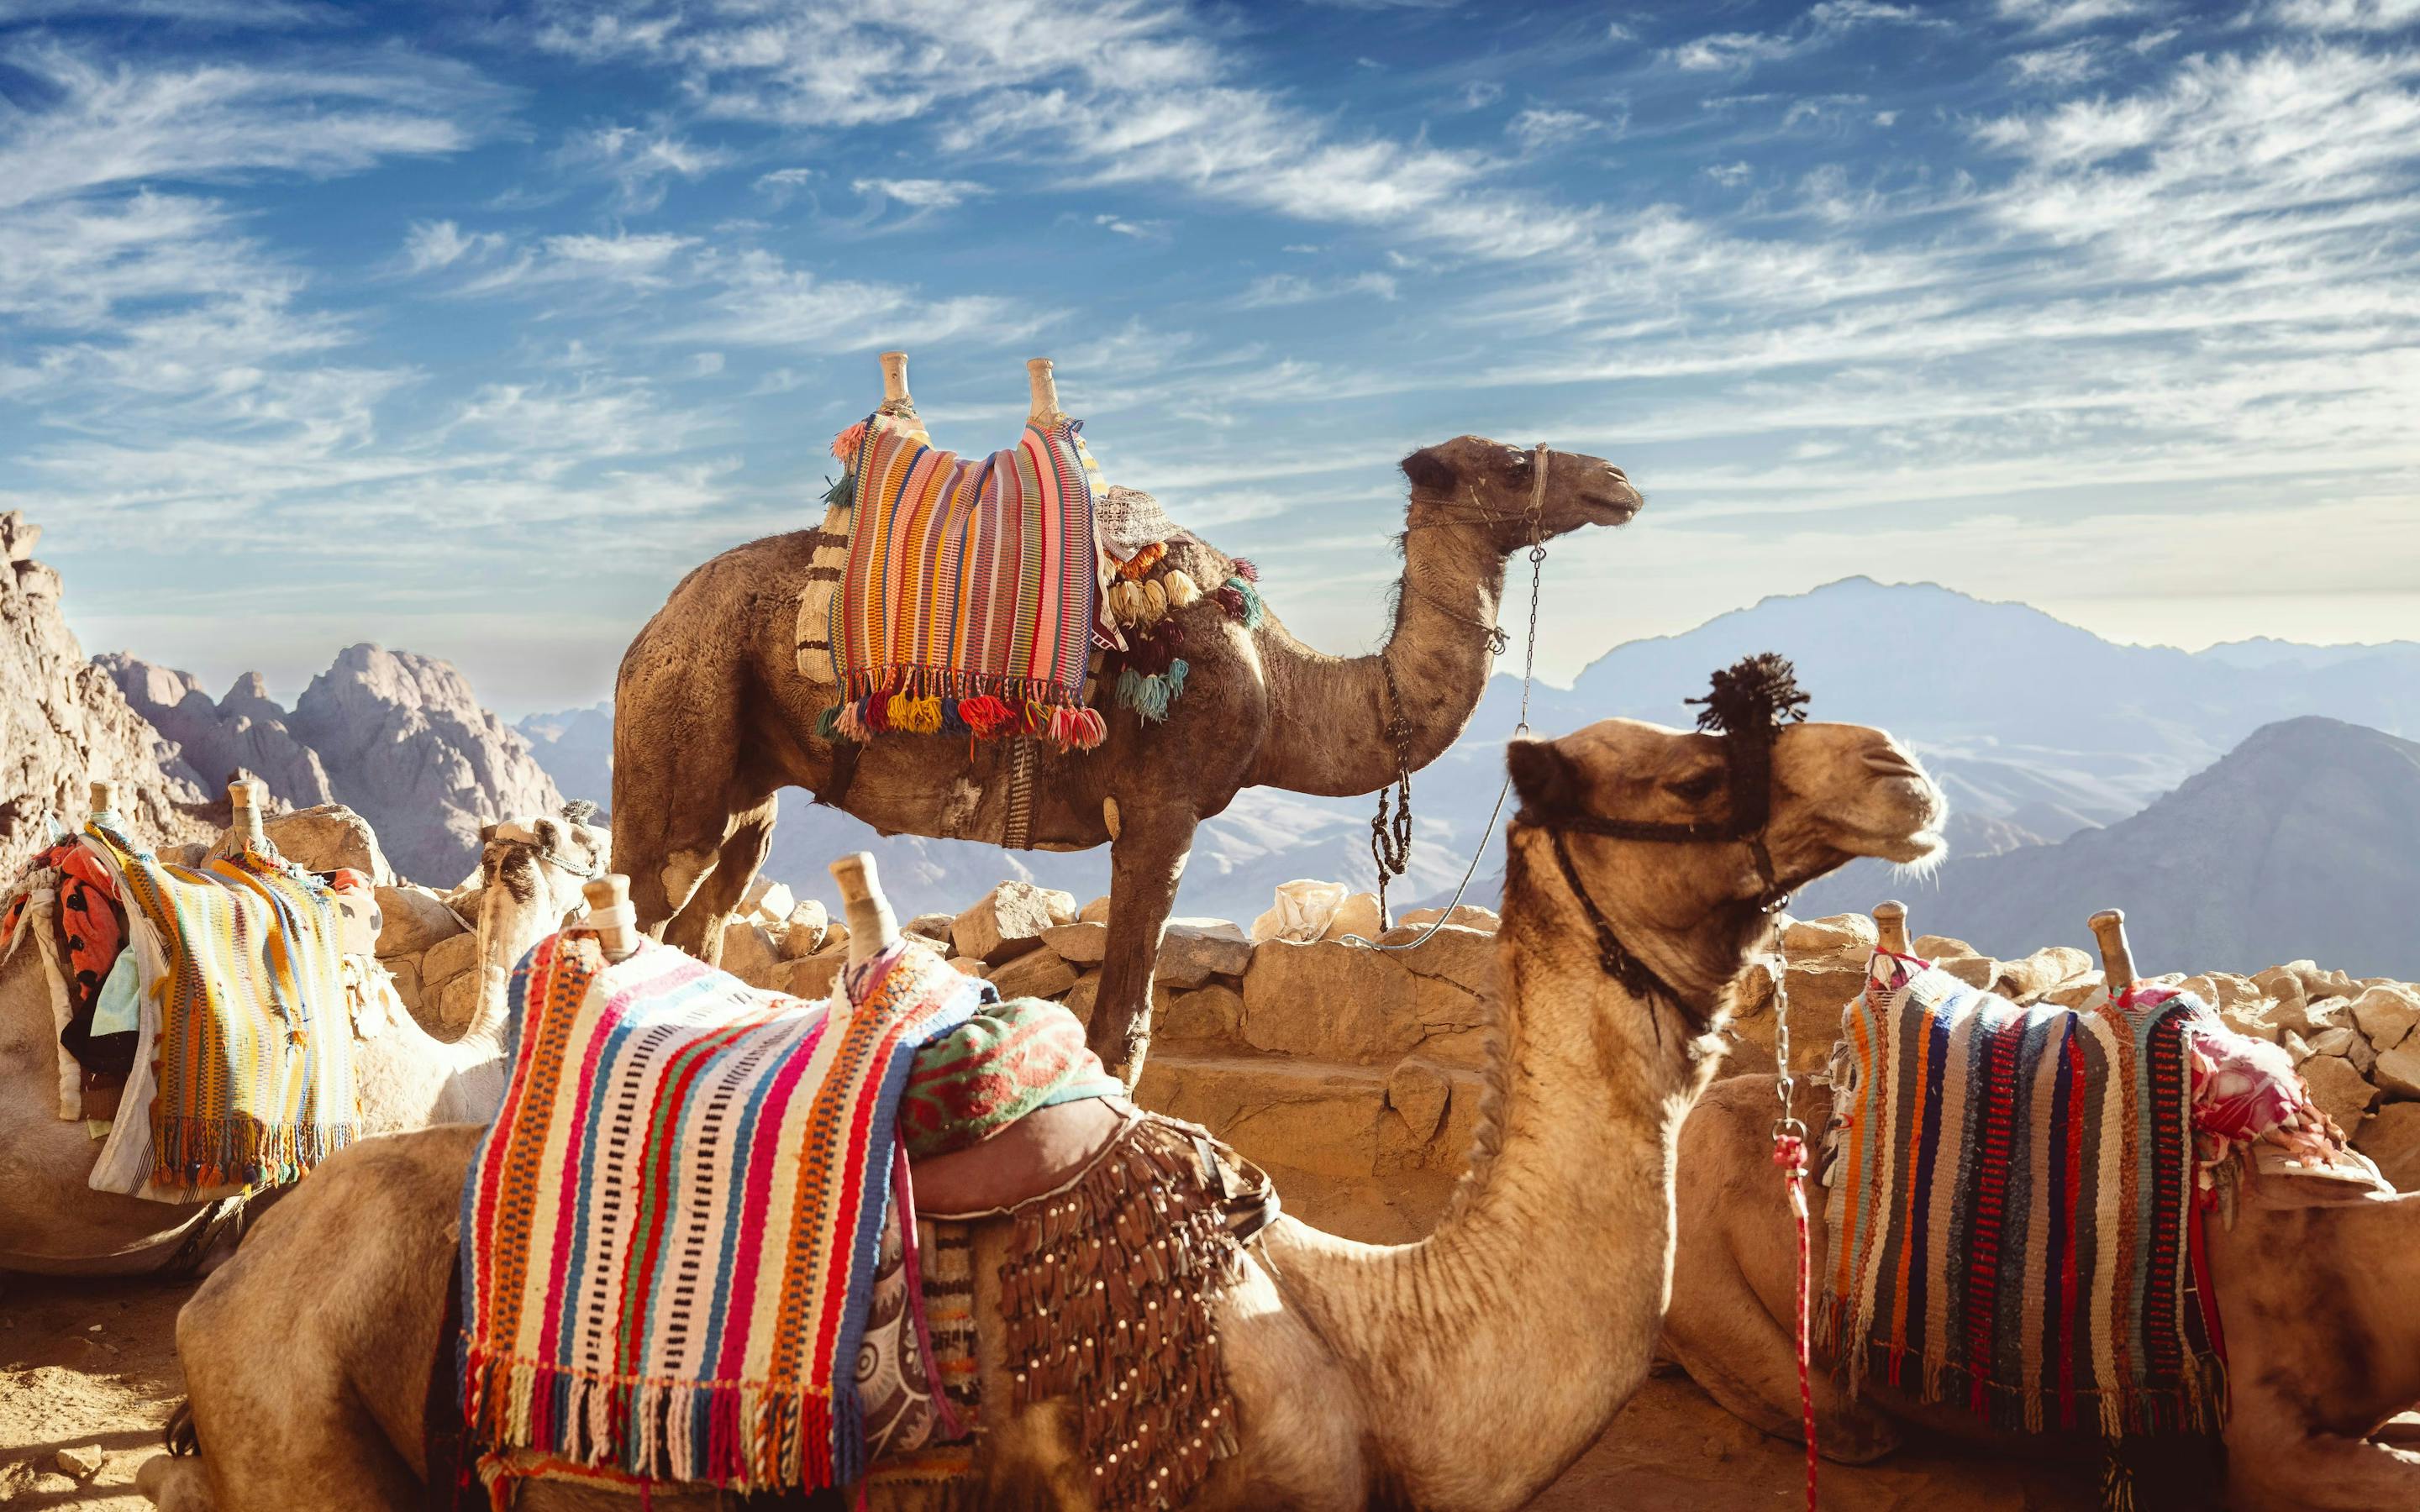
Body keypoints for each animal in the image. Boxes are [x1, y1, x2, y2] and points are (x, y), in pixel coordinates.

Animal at [609, 353, 1645, 1085]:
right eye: (1511, 463)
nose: (1620, 481)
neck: (1281, 685)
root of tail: (647, 632)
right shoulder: (1163, 811)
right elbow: (1122, 1032)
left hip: (747, 784)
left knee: (704, 920)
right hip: (679, 729)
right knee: (635, 912)